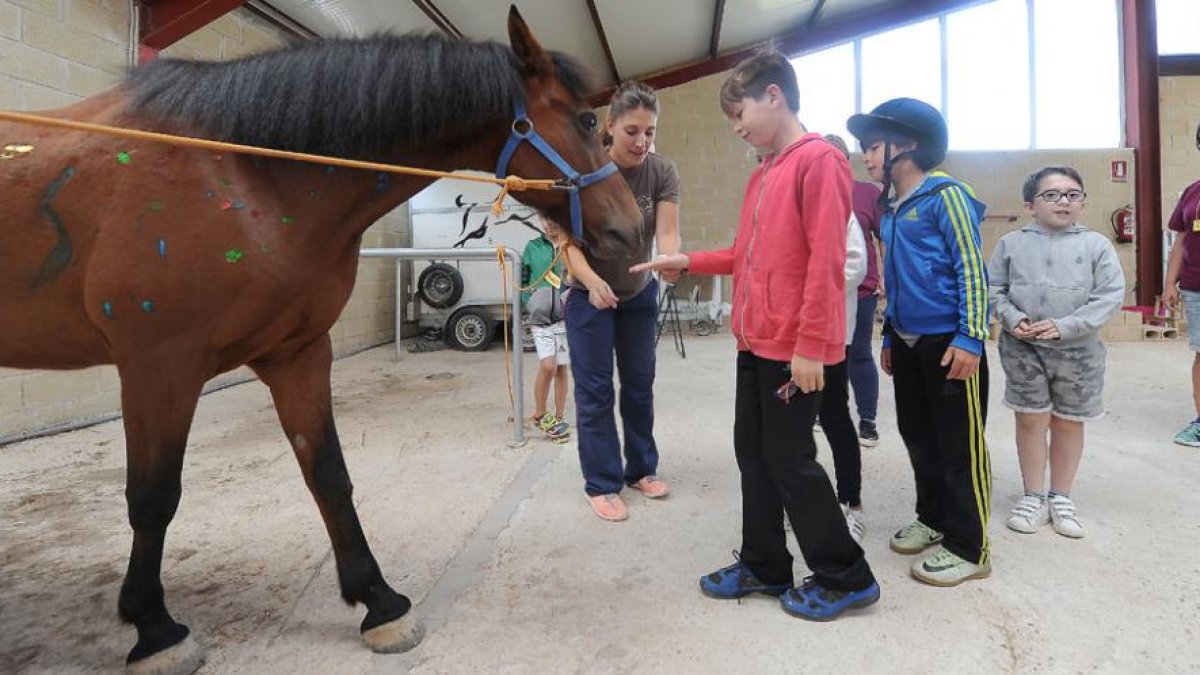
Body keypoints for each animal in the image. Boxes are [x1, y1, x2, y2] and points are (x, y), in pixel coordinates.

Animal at [0, 7, 643, 667]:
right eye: (587, 120)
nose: (632, 230)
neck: (239, 174)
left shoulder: (298, 354)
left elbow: (328, 473)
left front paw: (379, 602)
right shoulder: (159, 367)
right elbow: (153, 496)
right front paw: (154, 629)